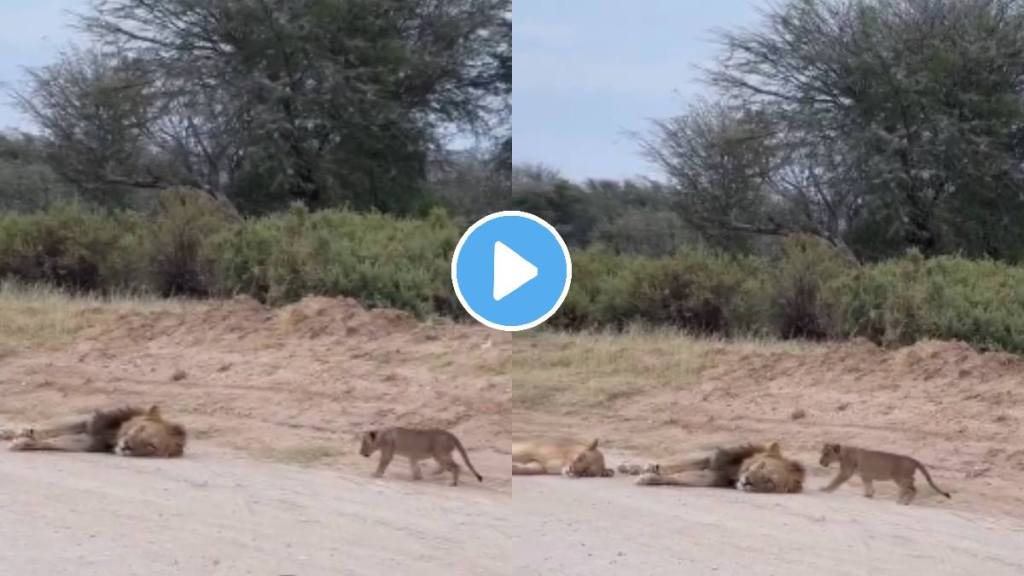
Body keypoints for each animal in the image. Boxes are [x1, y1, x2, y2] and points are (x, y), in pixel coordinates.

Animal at [618, 440, 802, 491]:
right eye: (762, 465)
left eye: (769, 482)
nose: (748, 481)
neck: (736, 472)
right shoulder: (713, 459)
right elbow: (676, 465)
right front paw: (651, 471)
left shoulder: (711, 477)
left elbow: (678, 477)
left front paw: (648, 478)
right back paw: (627, 467)